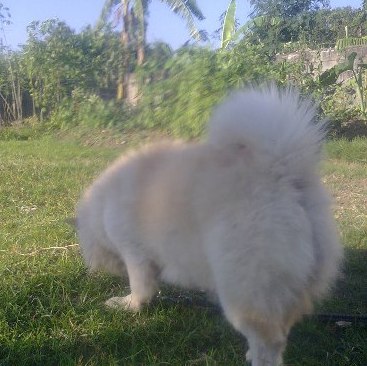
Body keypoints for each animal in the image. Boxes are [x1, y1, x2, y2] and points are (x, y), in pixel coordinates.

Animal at [77, 86, 344, 366]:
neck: (102, 204)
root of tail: (282, 173)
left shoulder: (135, 253)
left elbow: (140, 287)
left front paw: (127, 305)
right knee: (282, 328)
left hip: (245, 287)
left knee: (269, 341)